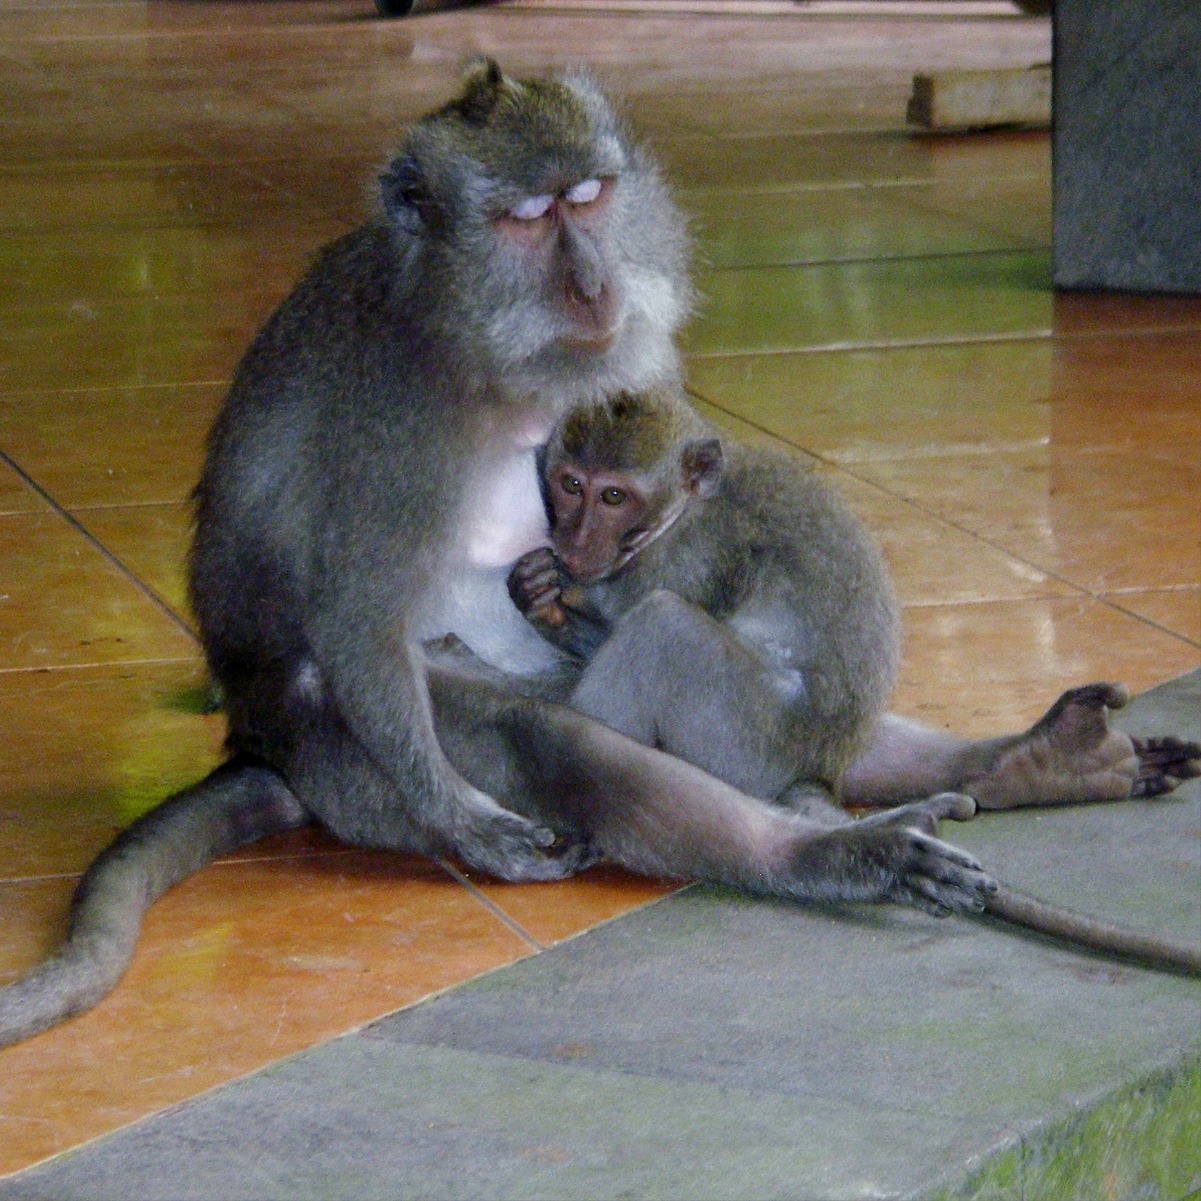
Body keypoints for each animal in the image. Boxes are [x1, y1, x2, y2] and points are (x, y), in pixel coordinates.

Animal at [507, 388, 1201, 974]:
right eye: (571, 484)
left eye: (613, 496)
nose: (573, 537)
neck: (686, 508)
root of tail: (815, 763)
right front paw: (539, 598)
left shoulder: (684, 558)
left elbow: (638, 616)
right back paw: (1051, 762)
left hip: (747, 734)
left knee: (662, 629)